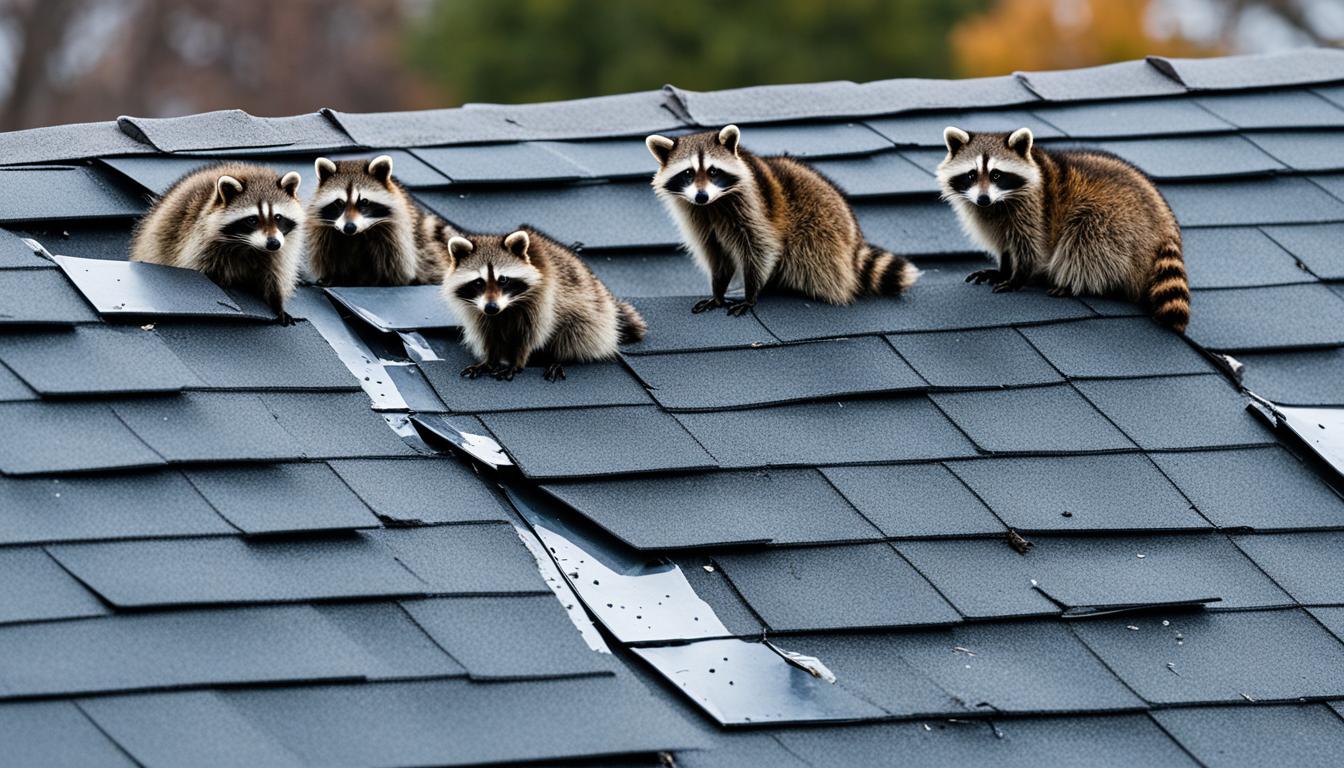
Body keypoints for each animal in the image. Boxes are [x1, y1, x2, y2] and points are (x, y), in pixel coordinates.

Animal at [130, 164, 305, 322]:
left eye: (278, 217)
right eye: (252, 220)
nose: (273, 244)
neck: (249, 246)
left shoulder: (281, 249)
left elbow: (275, 276)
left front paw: (277, 302)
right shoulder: (199, 243)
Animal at [303, 154, 451, 286]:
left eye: (364, 202)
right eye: (339, 202)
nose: (349, 227)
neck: (356, 236)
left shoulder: (396, 235)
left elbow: (396, 264)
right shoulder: (325, 235)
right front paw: (334, 277)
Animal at [440, 228, 645, 384]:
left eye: (503, 279)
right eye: (478, 282)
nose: (491, 307)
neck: (506, 309)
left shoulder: (544, 300)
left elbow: (529, 335)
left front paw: (516, 362)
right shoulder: (479, 311)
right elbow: (488, 334)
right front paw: (490, 359)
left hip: (593, 313)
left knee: (575, 333)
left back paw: (560, 358)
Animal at [645, 125, 919, 316]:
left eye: (713, 171)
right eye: (688, 173)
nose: (701, 196)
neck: (712, 204)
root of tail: (854, 240)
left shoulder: (751, 207)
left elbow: (760, 247)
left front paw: (750, 293)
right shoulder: (697, 215)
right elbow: (716, 253)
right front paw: (719, 289)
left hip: (823, 228)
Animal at [935, 126, 1188, 330]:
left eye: (997, 175)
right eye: (971, 175)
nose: (983, 198)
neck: (998, 203)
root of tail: (1166, 220)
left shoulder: (1035, 208)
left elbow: (1031, 247)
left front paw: (1019, 276)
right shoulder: (988, 216)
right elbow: (1004, 244)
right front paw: (1004, 268)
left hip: (1119, 220)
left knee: (1087, 243)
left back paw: (1076, 283)